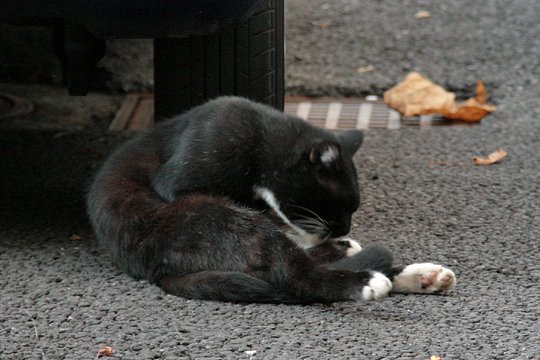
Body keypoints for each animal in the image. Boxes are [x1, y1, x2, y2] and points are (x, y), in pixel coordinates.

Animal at [85, 96, 456, 304]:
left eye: (353, 208)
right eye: (338, 205)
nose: (343, 229)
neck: (259, 141)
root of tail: (157, 272)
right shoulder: (181, 177)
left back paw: (420, 275)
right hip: (212, 215)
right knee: (293, 272)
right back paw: (366, 279)